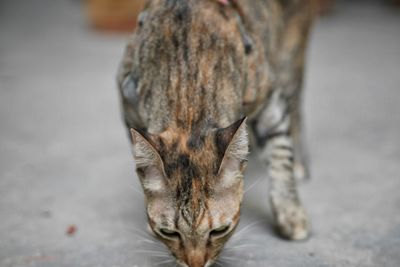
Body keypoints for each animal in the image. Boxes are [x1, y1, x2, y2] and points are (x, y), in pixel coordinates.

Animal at [117, 0, 318, 267]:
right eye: (169, 232)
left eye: (219, 230)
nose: (195, 264)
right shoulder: (127, 99)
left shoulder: (269, 99)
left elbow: (280, 153)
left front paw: (290, 212)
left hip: (289, 54)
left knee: (295, 101)